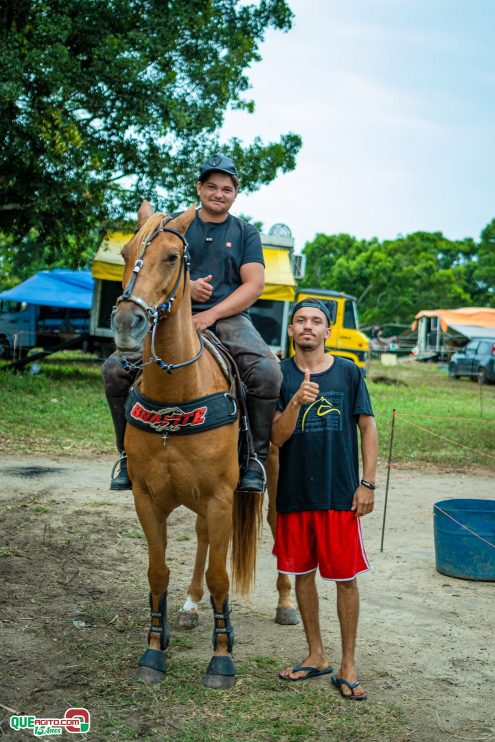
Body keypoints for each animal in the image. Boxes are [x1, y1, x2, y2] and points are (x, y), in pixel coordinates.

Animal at [111, 203, 264, 692]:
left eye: (173, 257)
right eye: (125, 252)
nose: (127, 324)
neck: (178, 392)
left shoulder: (221, 497)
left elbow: (221, 576)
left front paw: (222, 657)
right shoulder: (147, 498)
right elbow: (158, 572)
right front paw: (153, 650)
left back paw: (286, 607)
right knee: (200, 539)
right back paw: (191, 606)